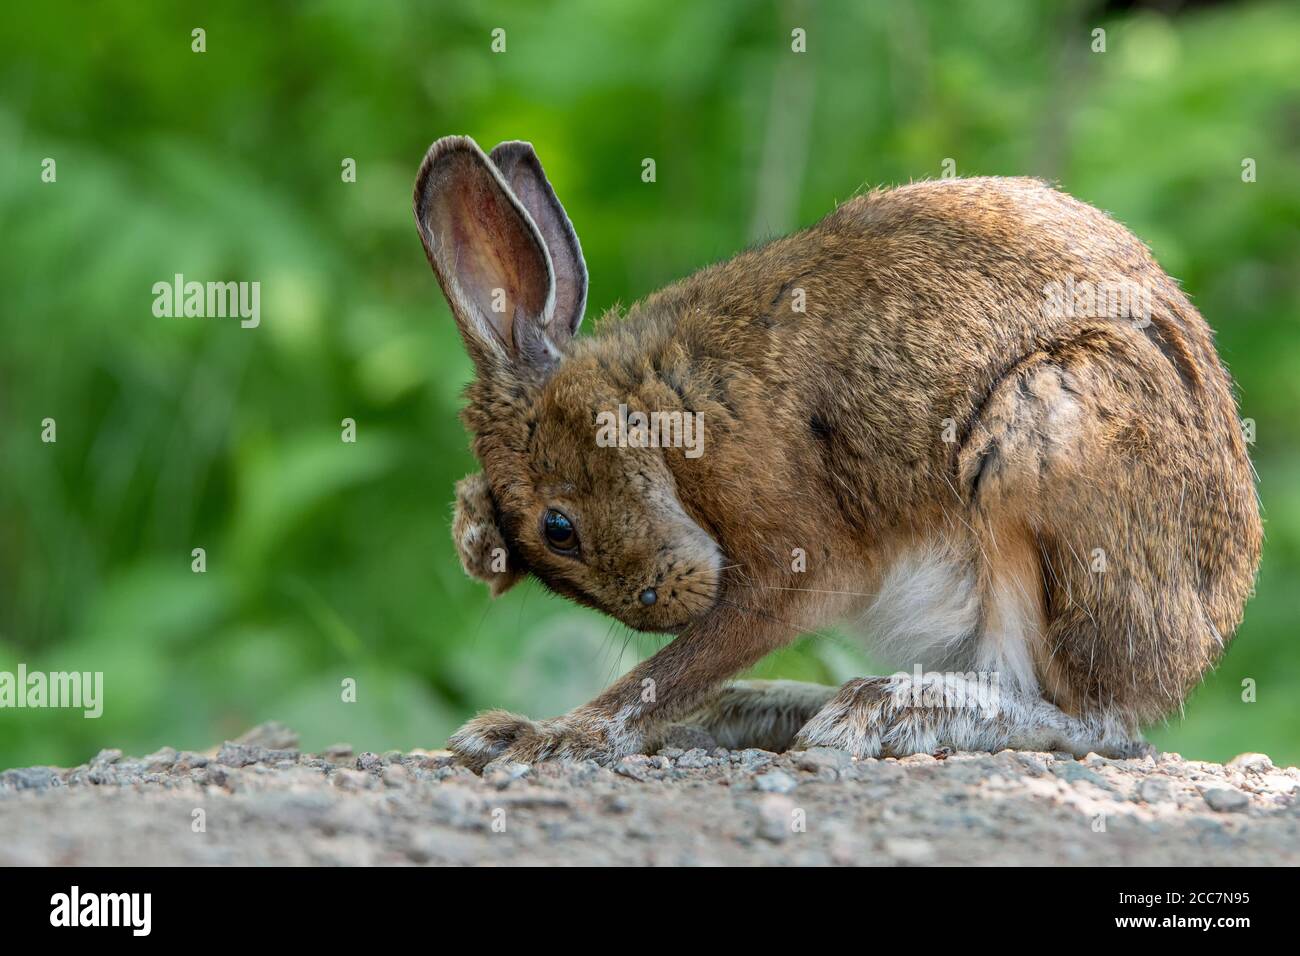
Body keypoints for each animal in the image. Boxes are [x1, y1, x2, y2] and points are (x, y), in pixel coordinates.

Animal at [414, 134, 1261, 770]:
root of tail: (1202, 634)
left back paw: (883, 712)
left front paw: (555, 737)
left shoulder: (792, 551)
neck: (657, 411)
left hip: (1041, 440)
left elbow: (674, 668)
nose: (660, 606)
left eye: (558, 527)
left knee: (1090, 716)